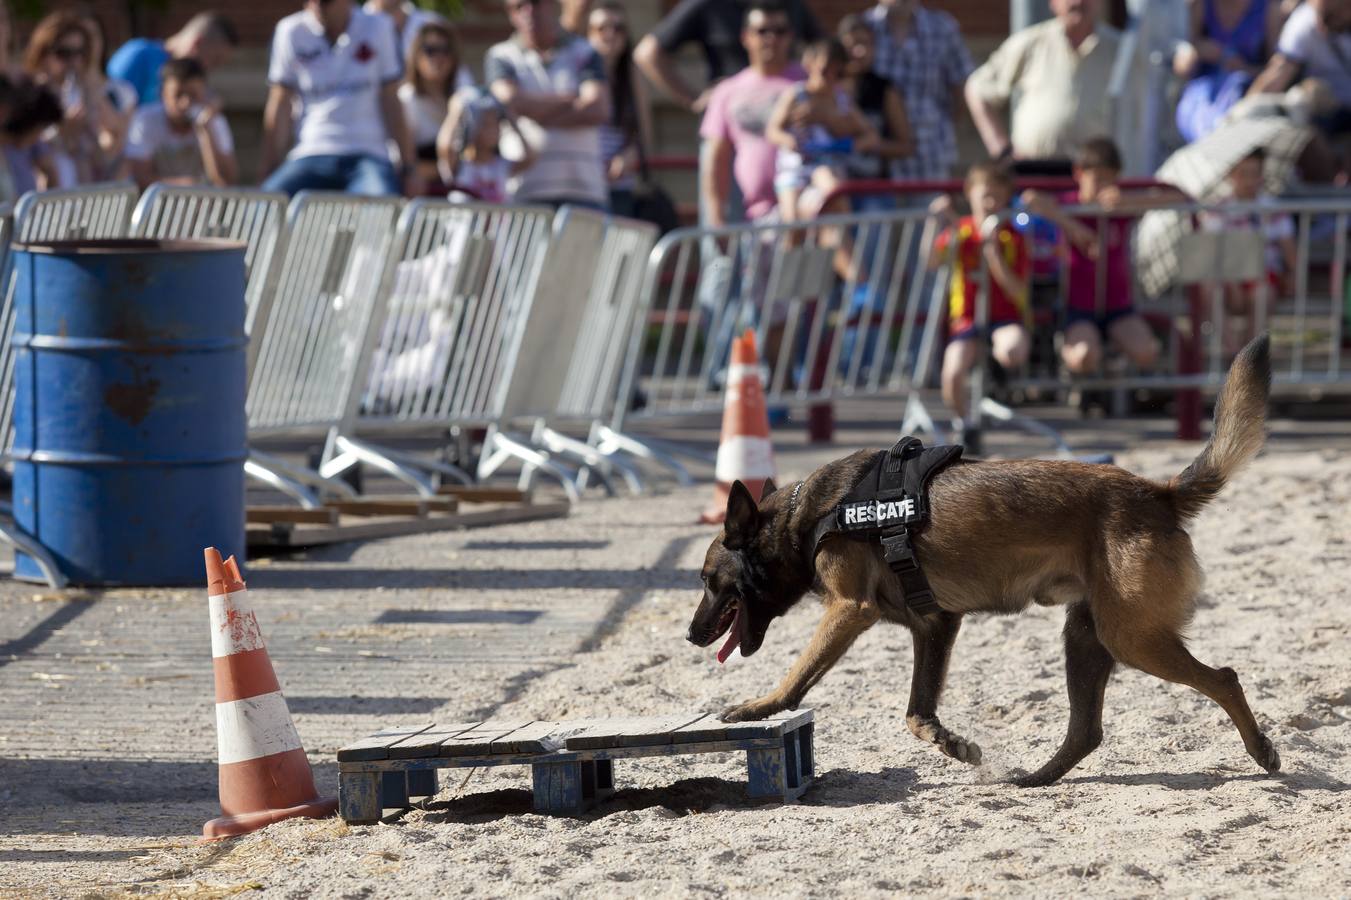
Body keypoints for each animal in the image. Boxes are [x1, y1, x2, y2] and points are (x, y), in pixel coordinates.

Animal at [691, 332, 1280, 783]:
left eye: (708, 579)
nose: (693, 635)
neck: (806, 516)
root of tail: (1158, 493)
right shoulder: (934, 625)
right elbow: (916, 713)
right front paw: (950, 743)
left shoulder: (849, 611)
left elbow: (797, 677)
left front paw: (757, 707)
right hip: (1087, 637)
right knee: (1087, 730)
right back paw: (1036, 779)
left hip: (1131, 637)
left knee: (1224, 678)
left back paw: (1261, 751)